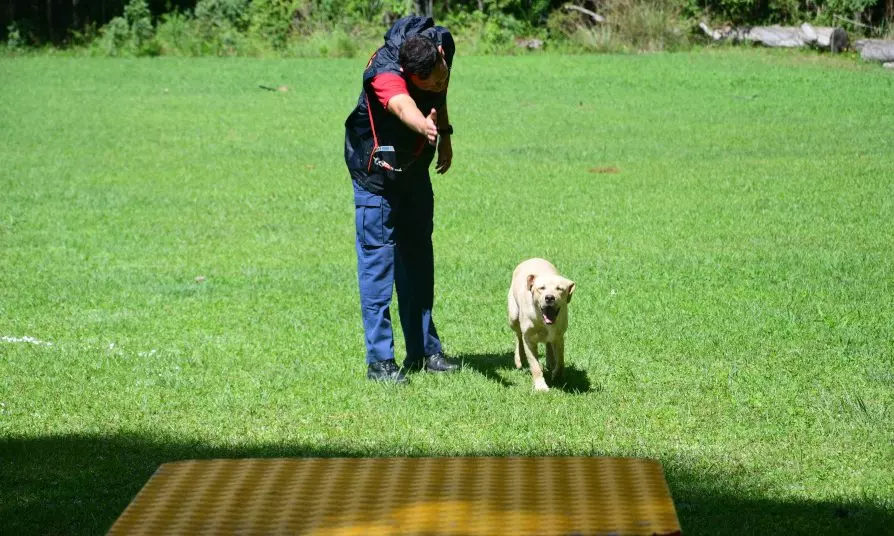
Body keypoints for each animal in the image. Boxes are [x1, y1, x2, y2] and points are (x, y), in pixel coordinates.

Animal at [508, 258, 576, 392]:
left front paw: (558, 377)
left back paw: (550, 361)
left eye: (559, 288)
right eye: (541, 288)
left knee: (548, 343)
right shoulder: (529, 339)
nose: (549, 297)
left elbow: (561, 360)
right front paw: (541, 387)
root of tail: (531, 258)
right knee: (518, 335)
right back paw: (519, 359)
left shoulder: (559, 337)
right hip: (513, 316)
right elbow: (535, 365)